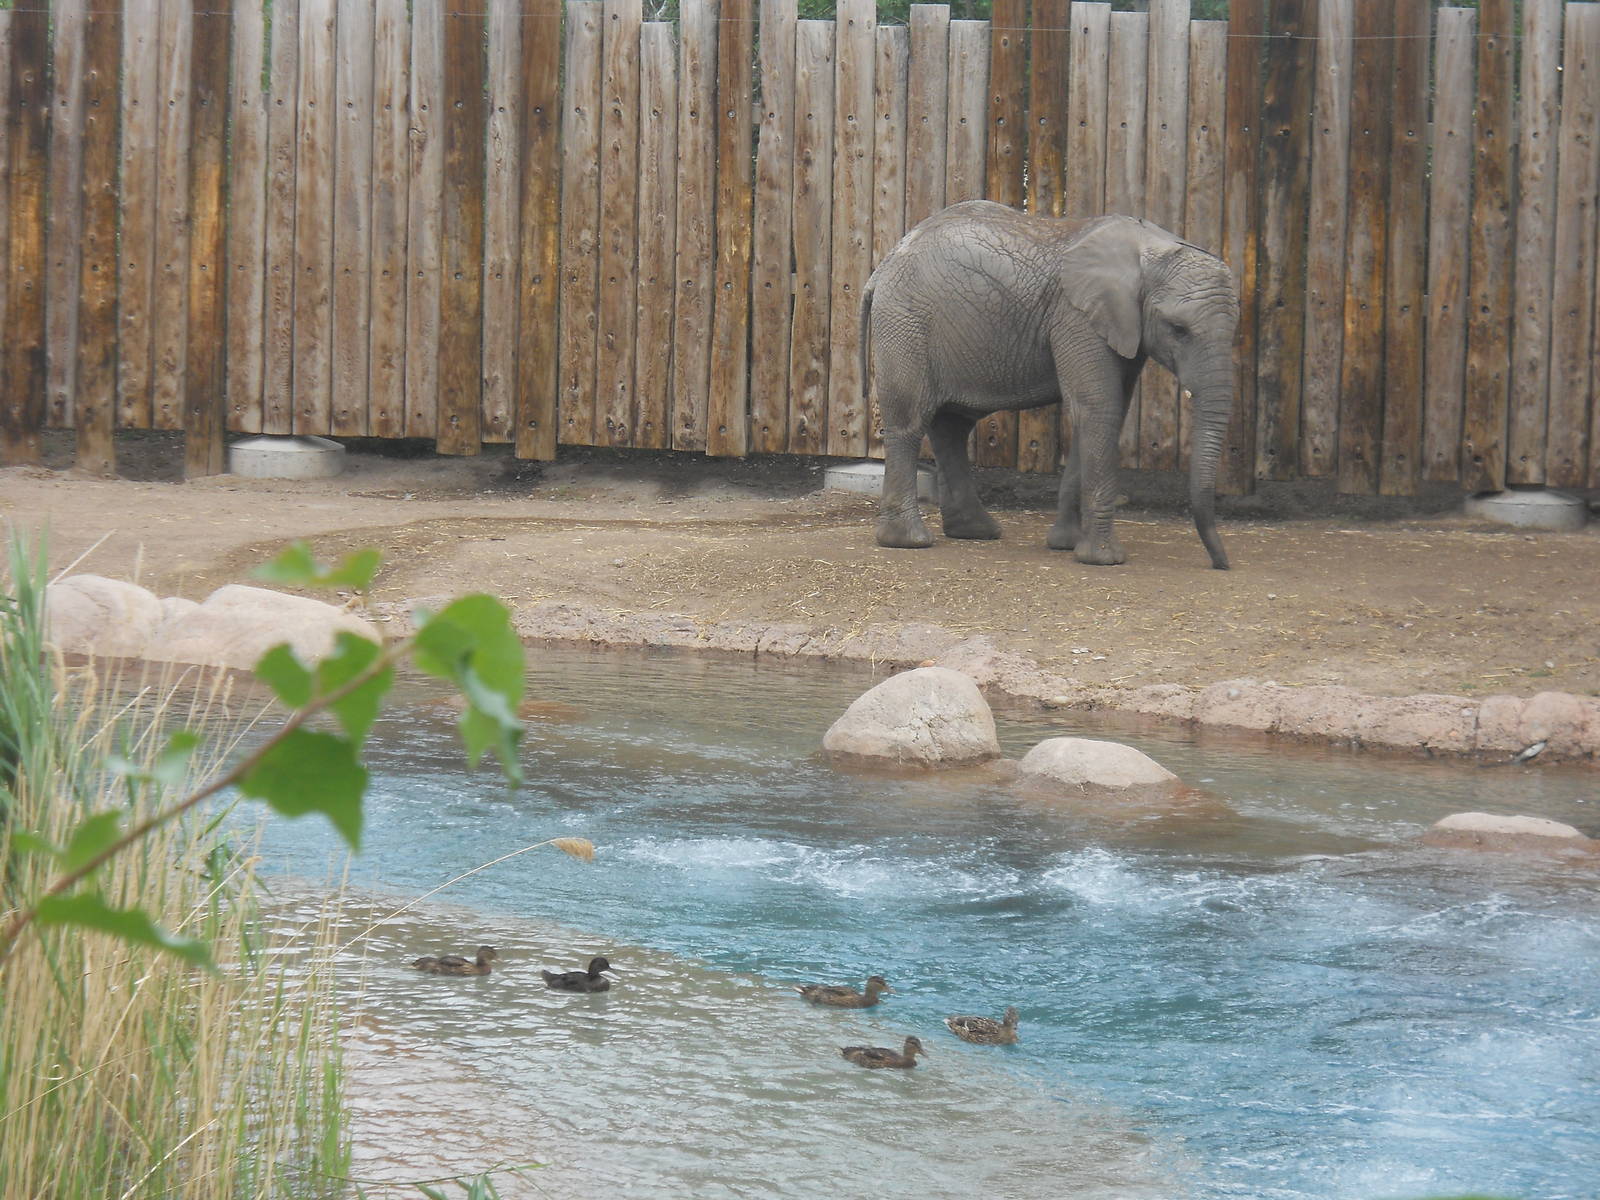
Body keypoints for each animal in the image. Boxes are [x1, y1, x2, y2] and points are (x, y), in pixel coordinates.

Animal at [860, 200, 1238, 569]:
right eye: (1178, 329)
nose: (1221, 564)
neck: (1152, 247)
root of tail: (881, 268)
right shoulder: (1076, 316)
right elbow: (1099, 407)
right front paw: (1103, 559)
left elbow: (1107, 412)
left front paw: (1066, 544)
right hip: (905, 322)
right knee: (910, 420)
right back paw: (908, 541)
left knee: (952, 426)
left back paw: (975, 531)